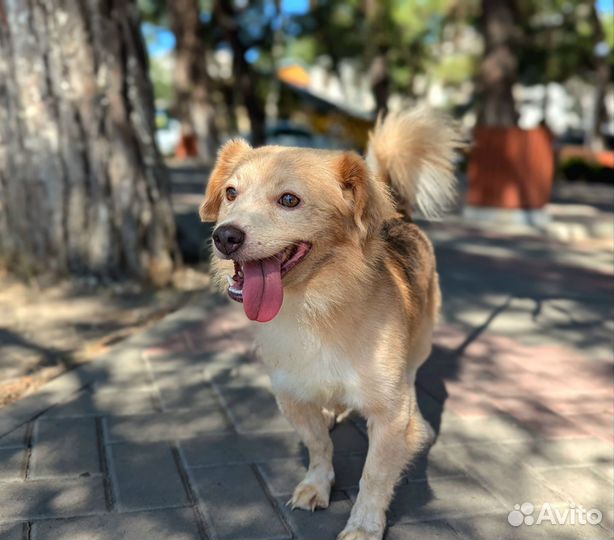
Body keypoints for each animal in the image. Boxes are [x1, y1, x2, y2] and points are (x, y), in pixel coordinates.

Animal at [200, 108, 464, 540]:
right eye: (230, 193)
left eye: (289, 200)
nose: (225, 236)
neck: (316, 307)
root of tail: (400, 215)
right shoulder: (291, 397)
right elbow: (319, 447)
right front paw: (316, 485)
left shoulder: (388, 415)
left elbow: (374, 476)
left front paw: (365, 524)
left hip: (422, 338)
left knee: (412, 374)